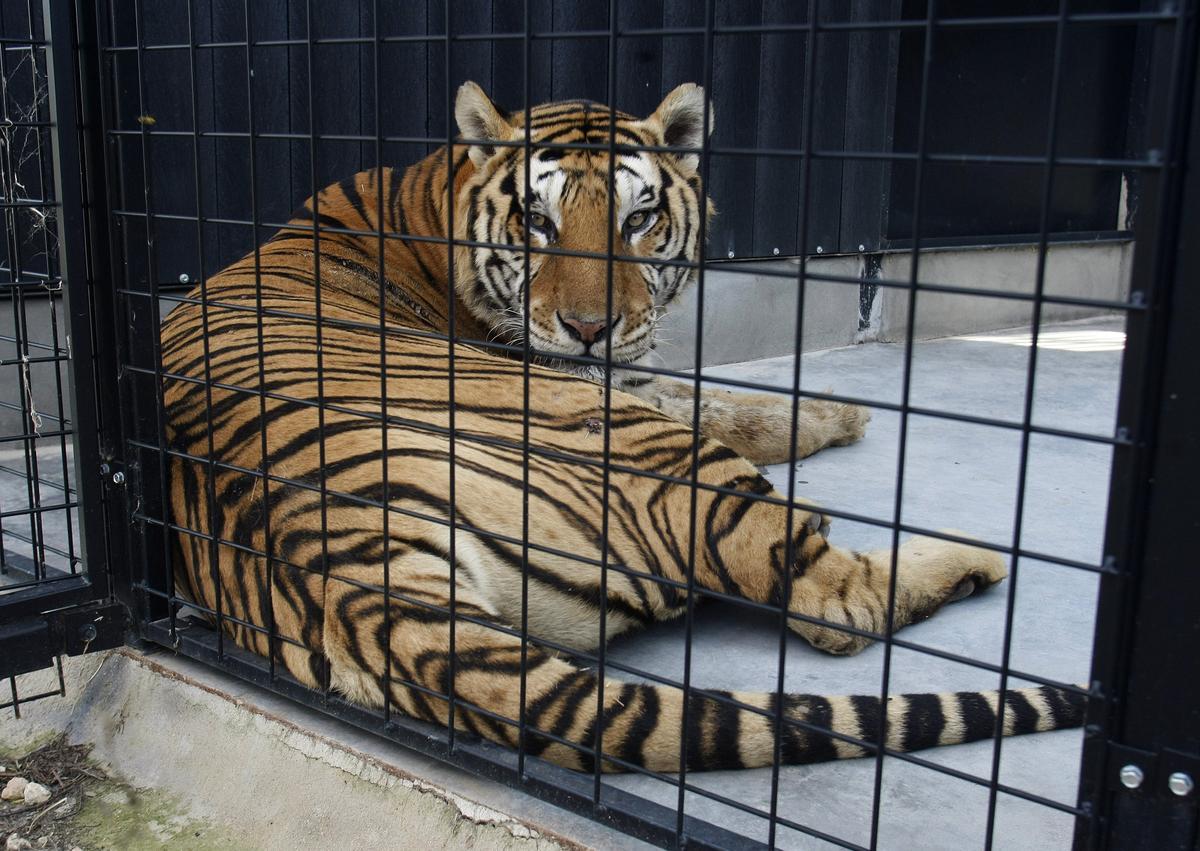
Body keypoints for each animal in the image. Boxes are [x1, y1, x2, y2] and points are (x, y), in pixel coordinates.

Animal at [159, 82, 1089, 772]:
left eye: (638, 220)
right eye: (536, 222)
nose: (587, 329)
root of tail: (353, 574)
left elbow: (715, 391)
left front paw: (834, 408)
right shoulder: (617, 389)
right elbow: (722, 404)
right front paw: (842, 415)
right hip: (660, 457)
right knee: (835, 604)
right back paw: (973, 556)